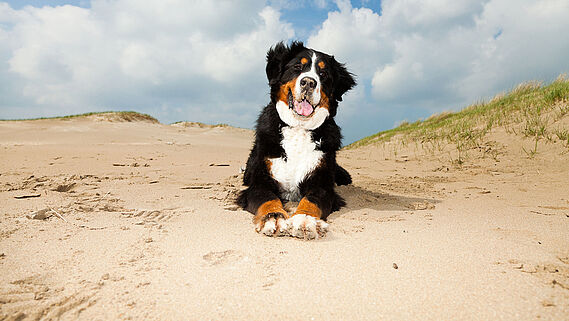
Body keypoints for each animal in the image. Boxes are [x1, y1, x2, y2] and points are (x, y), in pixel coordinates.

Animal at [236, 40, 356, 238]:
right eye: (298, 67)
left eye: (323, 74)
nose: (308, 82)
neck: (299, 128)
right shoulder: (260, 182)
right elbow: (268, 199)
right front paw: (273, 218)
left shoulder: (321, 184)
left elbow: (311, 200)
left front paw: (305, 220)